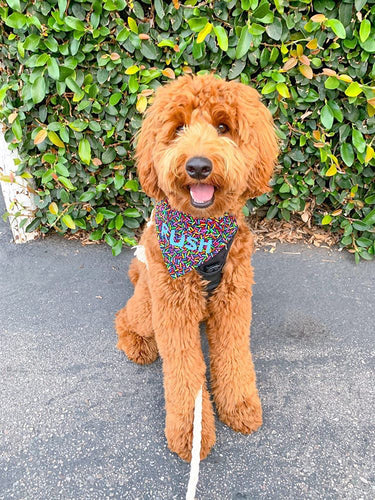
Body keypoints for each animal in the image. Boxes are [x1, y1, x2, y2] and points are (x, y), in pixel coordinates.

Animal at [116, 74, 280, 460]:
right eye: (178, 128)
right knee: (125, 316)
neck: (201, 235)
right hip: (149, 304)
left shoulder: (233, 299)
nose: (198, 167)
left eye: (223, 127)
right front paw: (190, 432)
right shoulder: (173, 309)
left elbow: (234, 355)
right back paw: (137, 344)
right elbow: (184, 372)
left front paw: (239, 405)